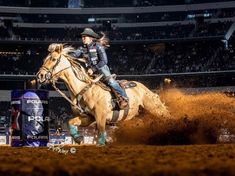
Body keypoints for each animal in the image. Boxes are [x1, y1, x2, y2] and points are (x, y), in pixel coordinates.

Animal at [36, 43, 169, 146]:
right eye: (44, 60)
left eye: (53, 59)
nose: (40, 75)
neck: (83, 90)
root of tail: (144, 88)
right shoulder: (89, 118)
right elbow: (71, 123)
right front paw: (79, 139)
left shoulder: (101, 116)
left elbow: (101, 133)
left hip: (155, 108)